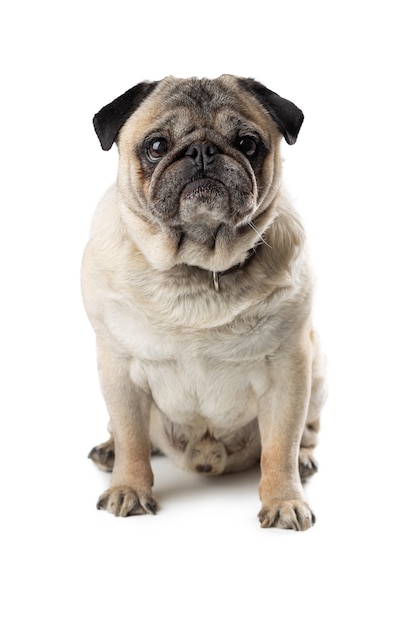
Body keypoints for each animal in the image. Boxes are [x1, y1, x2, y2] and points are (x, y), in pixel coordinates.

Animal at [83, 75, 326, 528]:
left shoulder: (289, 371)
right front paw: (129, 488)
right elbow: (131, 436)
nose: (202, 151)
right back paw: (109, 450)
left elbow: (280, 446)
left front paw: (284, 500)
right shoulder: (119, 368)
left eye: (248, 144)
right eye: (157, 146)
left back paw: (304, 459)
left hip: (316, 373)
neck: (196, 265)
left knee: (305, 432)